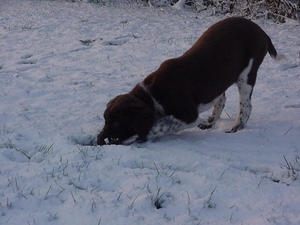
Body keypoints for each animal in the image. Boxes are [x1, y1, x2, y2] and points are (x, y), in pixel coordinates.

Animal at [96, 16, 276, 145]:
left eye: (117, 124)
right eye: (105, 119)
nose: (100, 139)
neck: (152, 94)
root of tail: (262, 31)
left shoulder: (188, 113)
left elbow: (159, 124)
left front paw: (134, 138)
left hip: (247, 74)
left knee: (246, 106)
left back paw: (236, 127)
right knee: (221, 98)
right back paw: (210, 122)